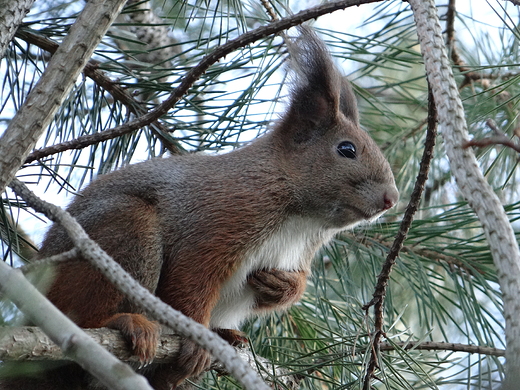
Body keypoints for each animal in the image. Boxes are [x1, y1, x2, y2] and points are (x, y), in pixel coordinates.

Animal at [4, 27, 398, 390]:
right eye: (347, 150)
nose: (392, 198)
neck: (302, 220)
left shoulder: (299, 253)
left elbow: (290, 286)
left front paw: (283, 286)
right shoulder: (220, 221)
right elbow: (191, 278)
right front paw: (195, 338)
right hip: (124, 231)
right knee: (84, 314)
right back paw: (126, 324)